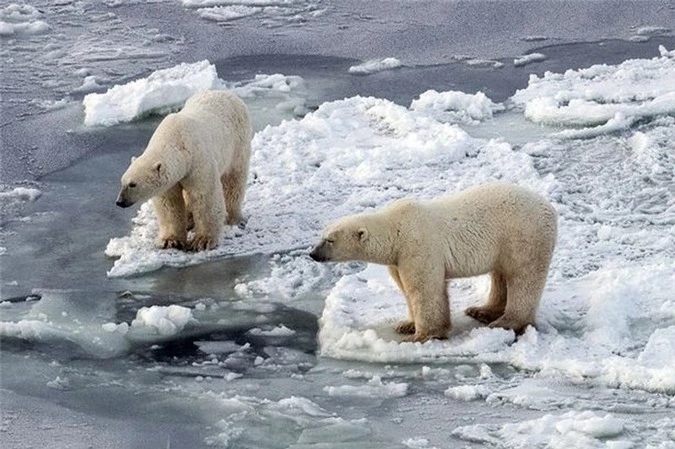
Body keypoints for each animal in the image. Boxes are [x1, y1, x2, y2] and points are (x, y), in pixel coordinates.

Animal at [116, 90, 254, 252]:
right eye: (122, 182)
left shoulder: (198, 162)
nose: (119, 201)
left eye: (133, 184)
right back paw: (189, 220)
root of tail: (228, 93)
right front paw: (170, 240)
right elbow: (169, 204)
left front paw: (202, 241)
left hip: (237, 144)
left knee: (234, 181)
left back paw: (233, 218)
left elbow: (205, 196)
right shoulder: (172, 179)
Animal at [308, 181, 556, 340]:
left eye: (329, 240)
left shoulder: (417, 246)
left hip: (522, 235)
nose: (312, 254)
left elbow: (424, 288)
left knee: (523, 277)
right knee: (501, 275)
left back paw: (506, 322)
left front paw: (422, 335)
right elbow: (405, 288)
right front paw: (406, 325)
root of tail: (550, 207)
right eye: (322, 235)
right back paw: (481, 311)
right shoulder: (398, 259)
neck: (396, 229)